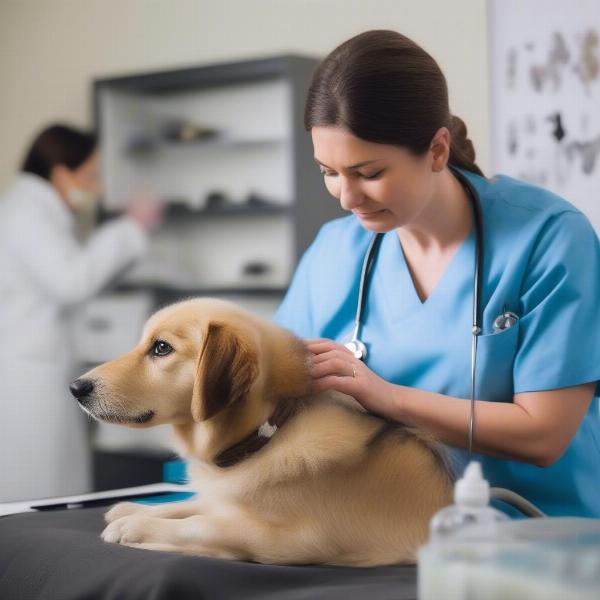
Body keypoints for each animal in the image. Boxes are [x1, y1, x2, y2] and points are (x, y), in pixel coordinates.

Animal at [70, 298, 452, 564]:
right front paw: (137, 509)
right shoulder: (225, 496)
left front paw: (139, 527)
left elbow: (203, 524)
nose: (75, 388)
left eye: (161, 348)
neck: (267, 436)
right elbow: (192, 504)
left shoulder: (297, 539)